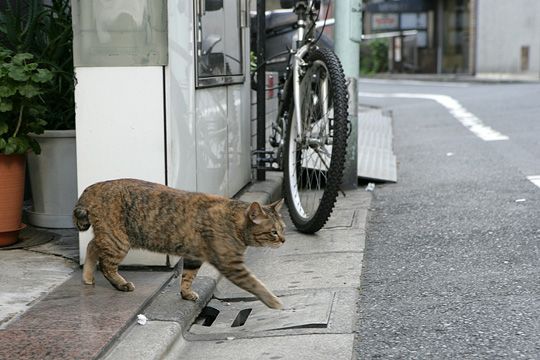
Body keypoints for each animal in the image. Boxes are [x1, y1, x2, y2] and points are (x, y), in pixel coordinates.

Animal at [76, 179, 288, 308]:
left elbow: (188, 277)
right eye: (273, 232)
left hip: (110, 236)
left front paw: (186, 294)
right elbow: (255, 283)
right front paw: (273, 301)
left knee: (92, 246)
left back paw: (87, 277)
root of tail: (92, 188)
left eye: (283, 228)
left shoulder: (194, 257)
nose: (284, 240)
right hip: (118, 240)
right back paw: (120, 283)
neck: (233, 219)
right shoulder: (231, 264)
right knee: (106, 265)